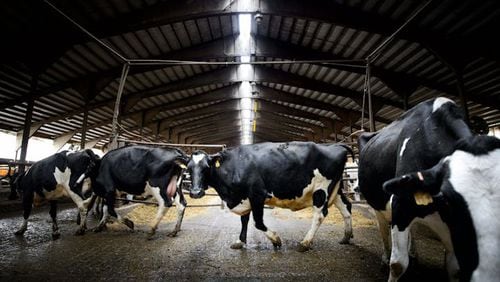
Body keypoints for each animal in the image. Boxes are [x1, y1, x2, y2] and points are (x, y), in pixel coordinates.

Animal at [188, 141, 356, 251]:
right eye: (188, 168)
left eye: (206, 167)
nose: (195, 192)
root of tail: (335, 145)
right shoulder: (244, 197)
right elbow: (244, 220)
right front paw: (240, 241)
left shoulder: (257, 194)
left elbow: (258, 222)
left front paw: (276, 240)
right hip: (336, 190)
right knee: (347, 206)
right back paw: (346, 237)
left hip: (321, 189)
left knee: (320, 215)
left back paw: (305, 243)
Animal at [358, 97, 470, 282]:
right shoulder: (400, 203)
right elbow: (397, 265)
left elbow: (455, 269)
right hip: (378, 204)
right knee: (384, 232)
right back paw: (385, 258)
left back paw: (413, 254)